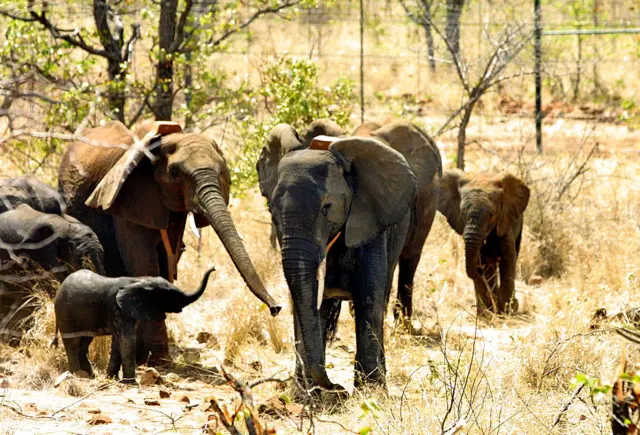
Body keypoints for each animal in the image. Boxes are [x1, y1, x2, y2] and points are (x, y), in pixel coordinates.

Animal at [53, 268, 214, 384]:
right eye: (173, 297)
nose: (213, 268)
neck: (139, 280)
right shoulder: (116, 307)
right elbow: (127, 339)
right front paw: (129, 382)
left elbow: (118, 341)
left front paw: (111, 379)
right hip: (63, 311)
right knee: (73, 342)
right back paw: (76, 375)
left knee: (84, 342)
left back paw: (89, 376)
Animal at [59, 120, 280, 368]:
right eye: (174, 174)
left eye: (222, 171)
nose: (276, 309)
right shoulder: (130, 201)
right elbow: (144, 264)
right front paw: (158, 360)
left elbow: (165, 266)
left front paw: (150, 357)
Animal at [255, 127, 424, 396]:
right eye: (272, 211)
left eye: (327, 207)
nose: (338, 388)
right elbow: (303, 301)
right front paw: (307, 394)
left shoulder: (370, 222)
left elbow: (368, 297)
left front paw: (371, 392)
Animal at [440, 169, 528, 316]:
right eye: (462, 213)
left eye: (491, 215)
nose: (478, 271)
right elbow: (482, 262)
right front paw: (485, 316)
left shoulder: (505, 222)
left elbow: (508, 261)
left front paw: (507, 313)